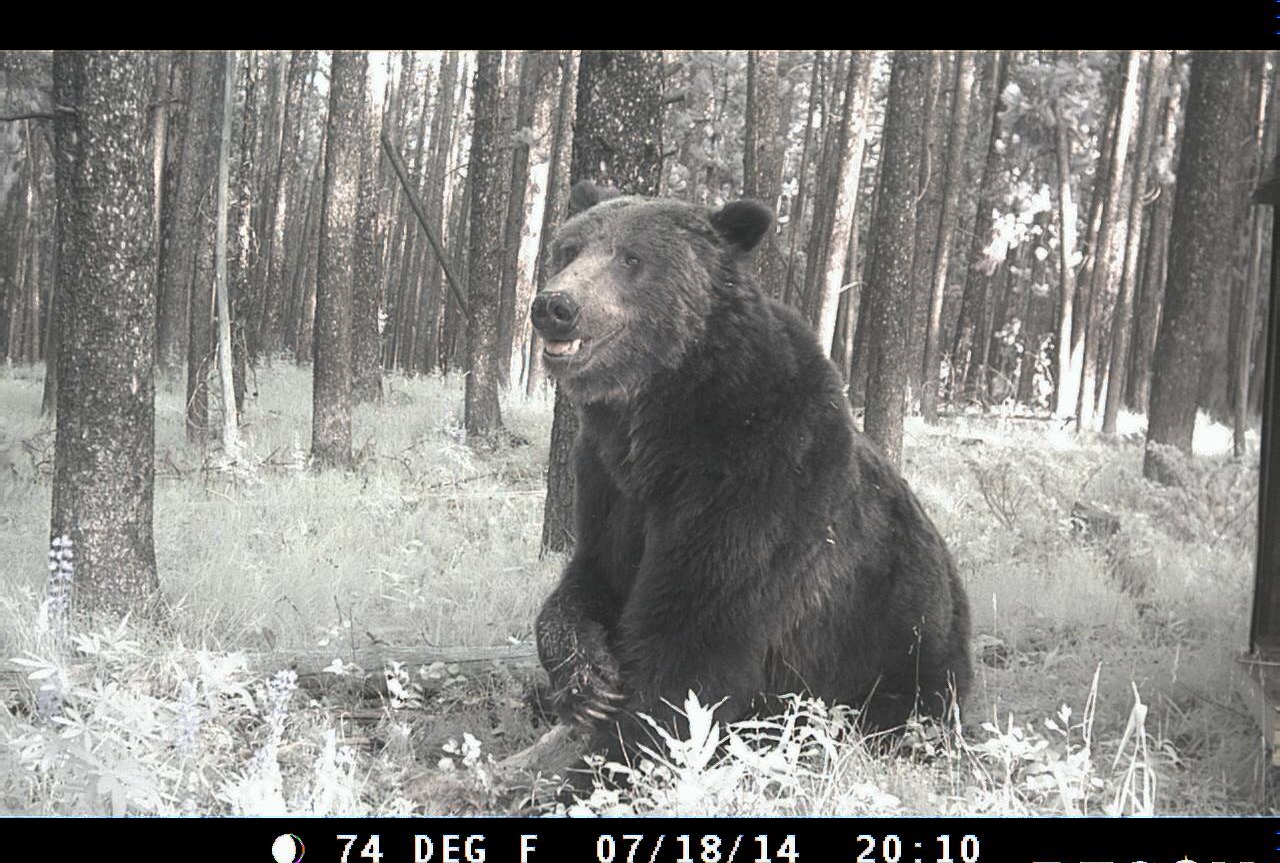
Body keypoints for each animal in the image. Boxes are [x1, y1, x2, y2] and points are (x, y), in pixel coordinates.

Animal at [529, 179, 967, 768]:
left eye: (632, 258)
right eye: (569, 249)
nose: (556, 306)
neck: (662, 416)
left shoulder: (759, 478)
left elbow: (694, 642)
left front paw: (614, 761)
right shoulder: (608, 481)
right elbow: (590, 578)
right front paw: (586, 681)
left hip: (900, 642)